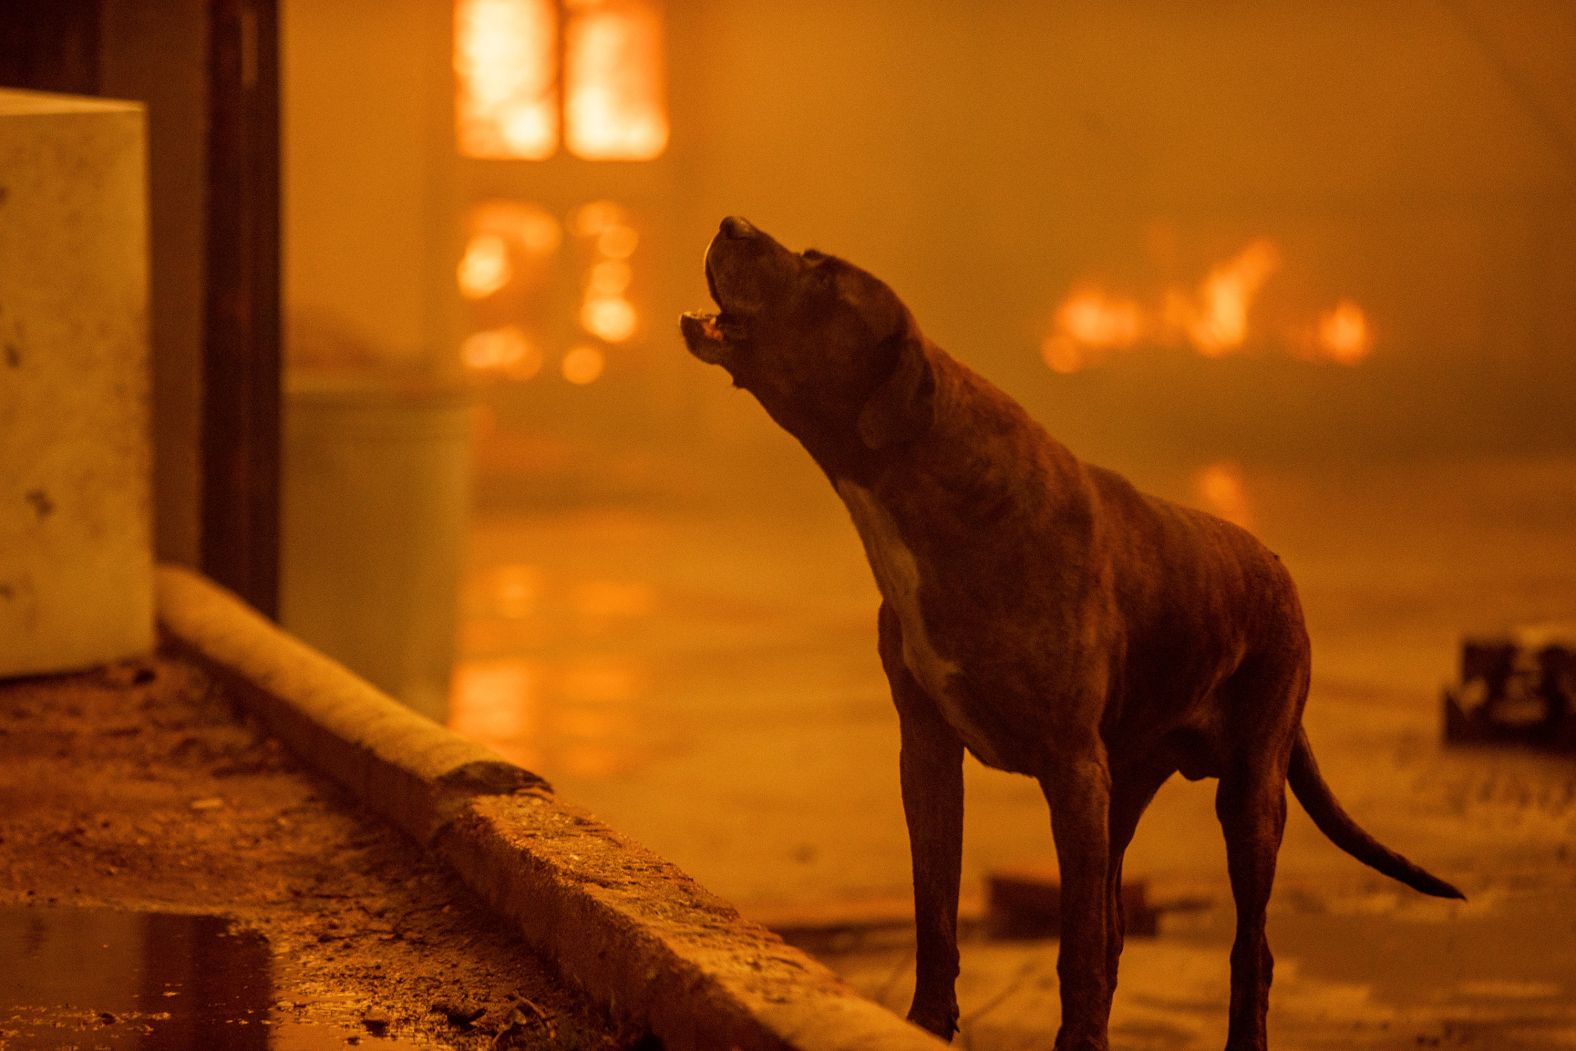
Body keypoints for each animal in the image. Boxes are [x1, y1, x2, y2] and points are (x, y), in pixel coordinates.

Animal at [677, 217, 1462, 1046]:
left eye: (824, 277)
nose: (732, 224)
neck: (924, 485)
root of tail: (1277, 567)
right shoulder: (930, 751)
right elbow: (939, 909)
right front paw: (929, 1021)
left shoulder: (1072, 769)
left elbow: (1076, 939)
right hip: (1130, 786)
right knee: (1118, 918)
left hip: (1250, 795)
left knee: (1249, 945)